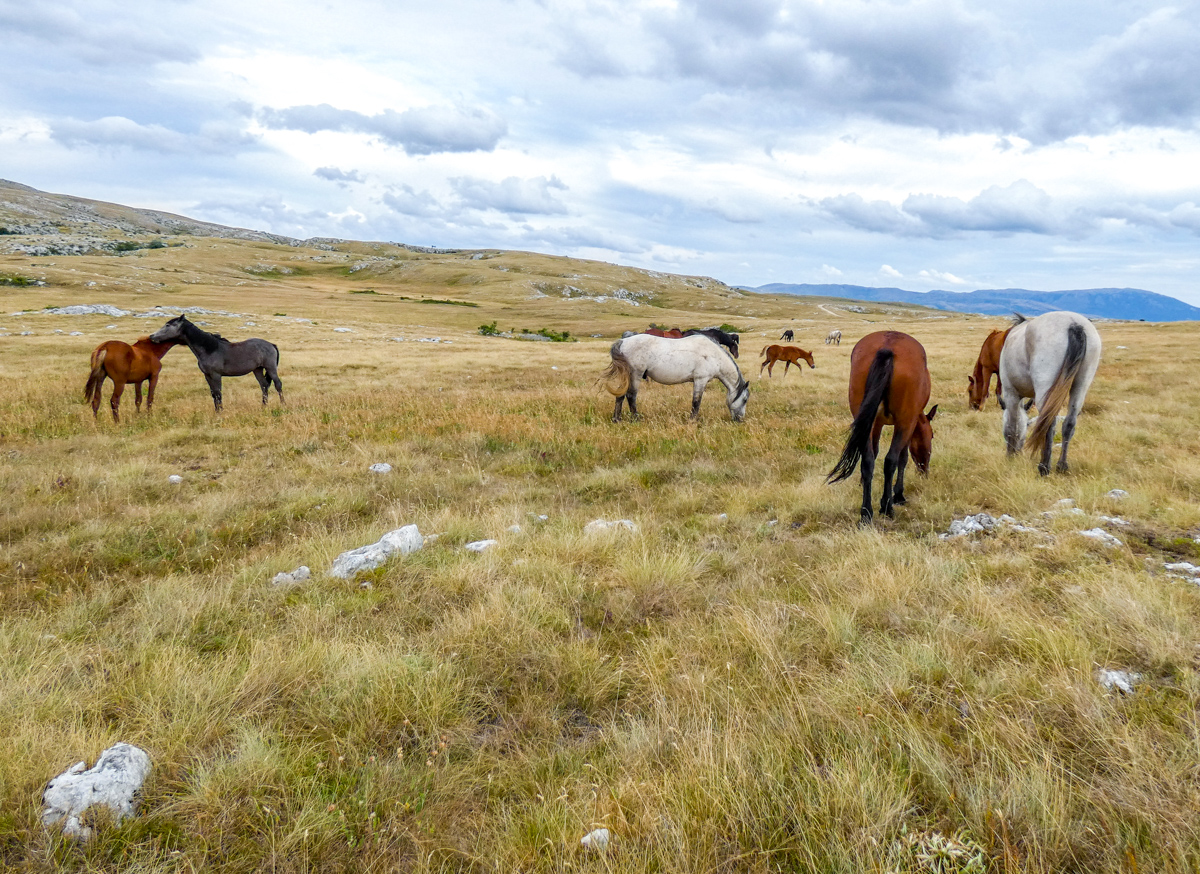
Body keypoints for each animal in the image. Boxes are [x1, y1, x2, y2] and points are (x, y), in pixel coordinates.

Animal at [146, 314, 282, 412]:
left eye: (168, 325)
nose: (152, 336)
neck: (209, 349)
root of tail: (271, 345)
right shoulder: (207, 375)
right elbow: (213, 394)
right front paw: (216, 411)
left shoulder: (216, 375)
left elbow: (218, 393)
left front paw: (220, 412)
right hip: (257, 369)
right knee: (264, 385)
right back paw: (263, 407)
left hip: (270, 368)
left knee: (278, 384)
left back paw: (283, 405)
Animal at [600, 333, 748, 422]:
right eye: (745, 399)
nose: (740, 420)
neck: (714, 355)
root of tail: (623, 341)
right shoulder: (701, 380)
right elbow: (696, 402)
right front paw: (692, 420)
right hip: (635, 374)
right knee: (631, 396)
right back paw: (636, 419)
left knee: (620, 395)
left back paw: (616, 419)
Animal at [825, 328, 936, 523]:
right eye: (931, 436)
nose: (925, 471)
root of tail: (887, 348)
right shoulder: (909, 423)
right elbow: (902, 458)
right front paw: (898, 495)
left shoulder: (875, 423)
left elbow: (873, 454)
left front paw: (863, 484)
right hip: (904, 422)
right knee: (890, 460)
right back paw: (887, 506)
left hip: (865, 417)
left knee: (868, 460)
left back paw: (866, 512)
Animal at [998, 309, 1099, 475]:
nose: (1017, 452)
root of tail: (1074, 324)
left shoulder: (1010, 393)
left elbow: (1012, 425)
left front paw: (1010, 457)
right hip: (1081, 385)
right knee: (1069, 423)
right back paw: (1061, 466)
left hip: (1045, 389)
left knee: (1049, 423)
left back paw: (1044, 467)